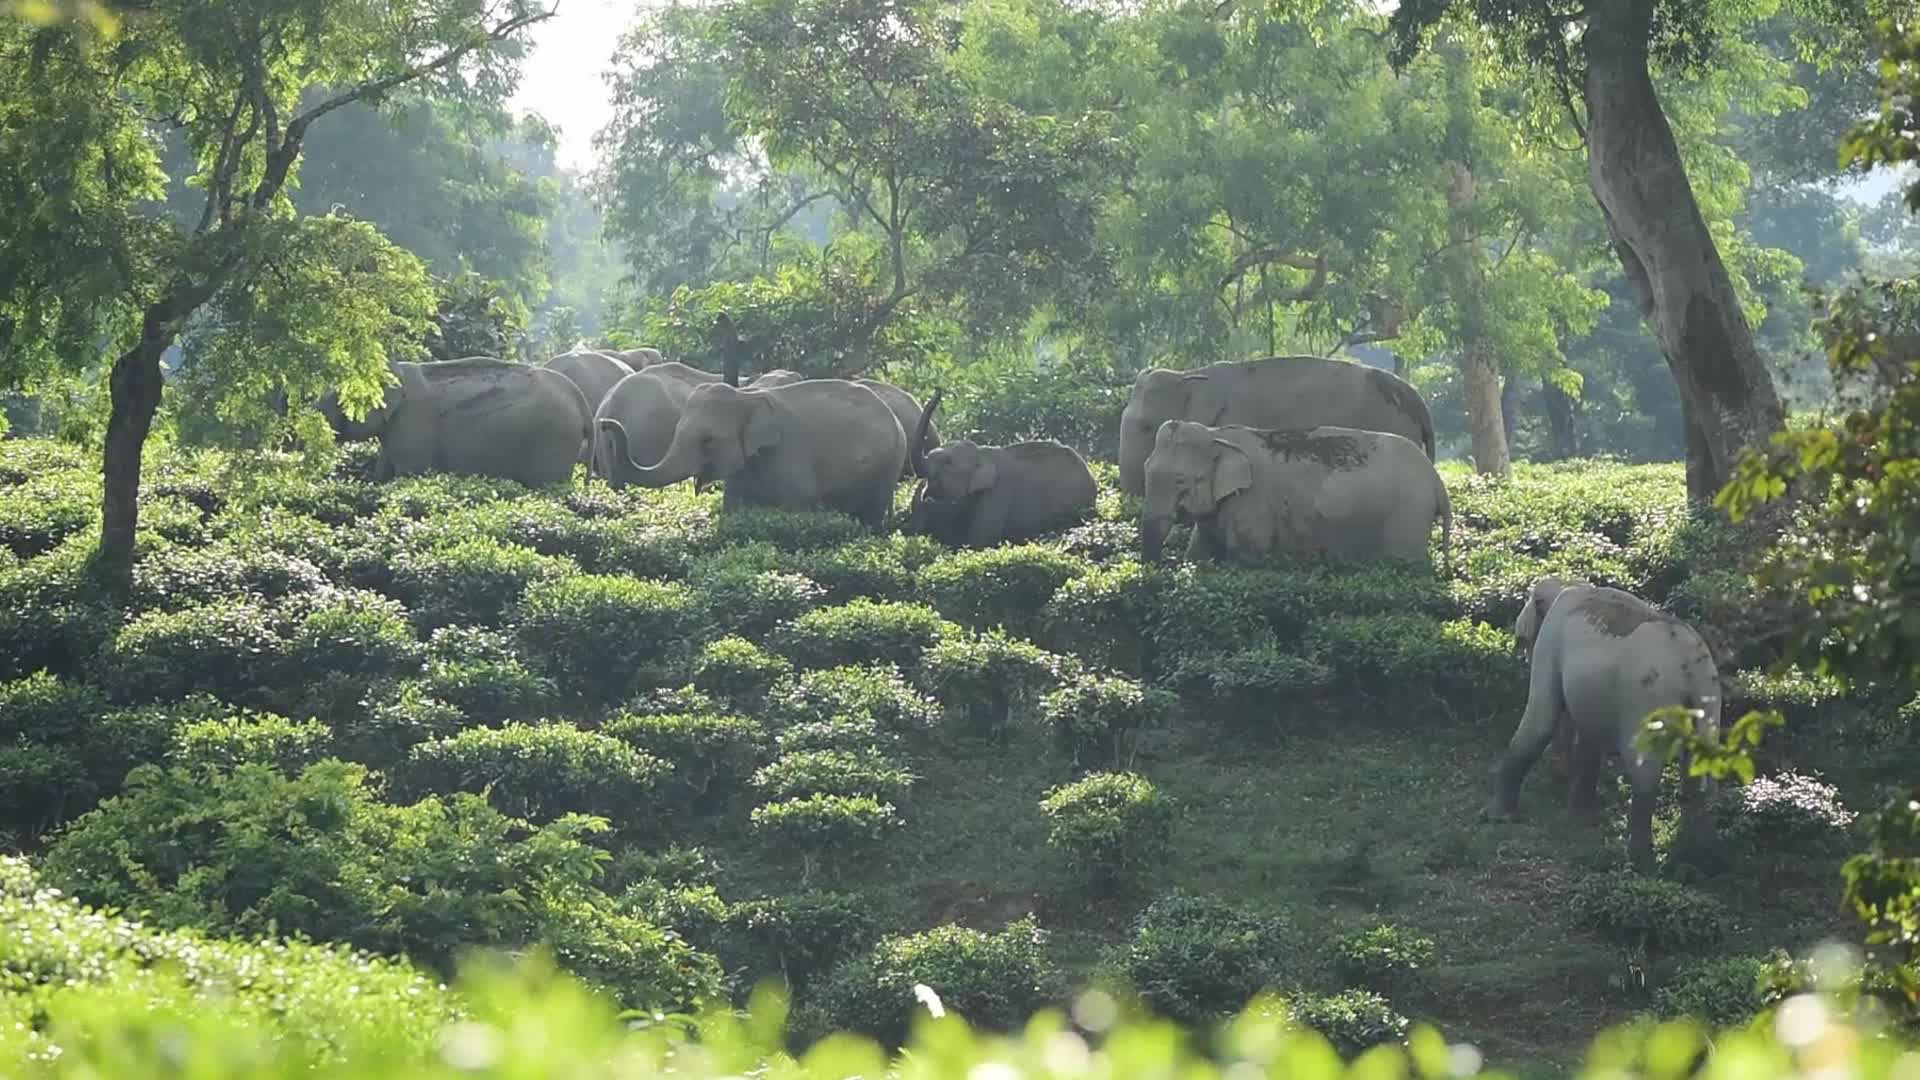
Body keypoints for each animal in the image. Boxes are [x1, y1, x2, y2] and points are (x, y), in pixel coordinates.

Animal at [598, 379, 913, 528]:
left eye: (708, 440)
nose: (604, 424)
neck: (747, 397)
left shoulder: (789, 454)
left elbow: (796, 505)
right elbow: (734, 508)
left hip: (890, 462)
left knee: (872, 511)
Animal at [1139, 421, 1451, 572]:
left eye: (1180, 480)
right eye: (1145, 467)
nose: (1155, 573)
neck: (1217, 435)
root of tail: (1436, 479)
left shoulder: (1252, 502)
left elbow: (1248, 556)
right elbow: (1198, 552)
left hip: (1408, 513)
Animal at [1487, 577, 1722, 870]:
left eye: (1525, 640)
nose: (1559, 775)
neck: (1570, 583)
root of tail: (1688, 665)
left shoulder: (1550, 640)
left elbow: (1541, 719)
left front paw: (1498, 817)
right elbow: (1589, 736)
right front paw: (1580, 819)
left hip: (1646, 699)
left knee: (1645, 772)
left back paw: (1640, 862)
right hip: (1709, 700)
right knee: (1701, 773)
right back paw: (1698, 858)